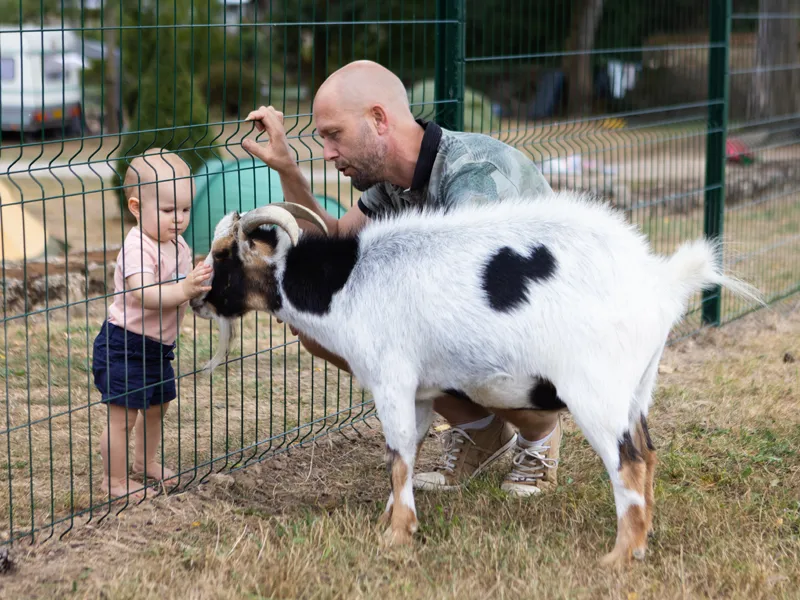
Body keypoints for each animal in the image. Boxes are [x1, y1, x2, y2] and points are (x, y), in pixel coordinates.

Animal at [188, 195, 764, 568]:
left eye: (224, 256)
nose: (197, 298)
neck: (347, 283)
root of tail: (660, 282)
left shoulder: (391, 379)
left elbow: (397, 454)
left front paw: (396, 538)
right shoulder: (420, 393)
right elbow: (409, 452)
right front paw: (391, 519)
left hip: (595, 393)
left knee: (629, 462)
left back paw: (618, 559)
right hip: (637, 388)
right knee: (647, 453)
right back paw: (639, 544)